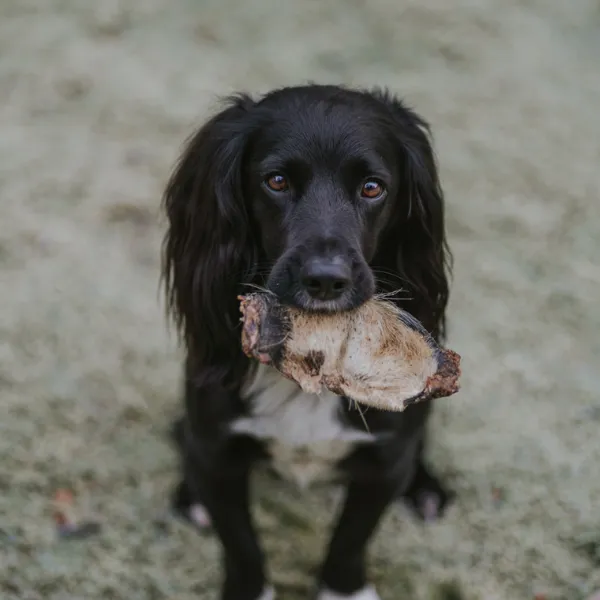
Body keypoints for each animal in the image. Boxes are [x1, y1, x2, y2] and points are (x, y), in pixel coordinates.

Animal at [162, 84, 452, 600]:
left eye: (372, 187)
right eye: (276, 181)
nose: (325, 280)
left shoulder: (385, 460)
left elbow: (351, 539)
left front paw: (345, 590)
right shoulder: (217, 454)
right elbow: (241, 545)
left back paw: (426, 490)